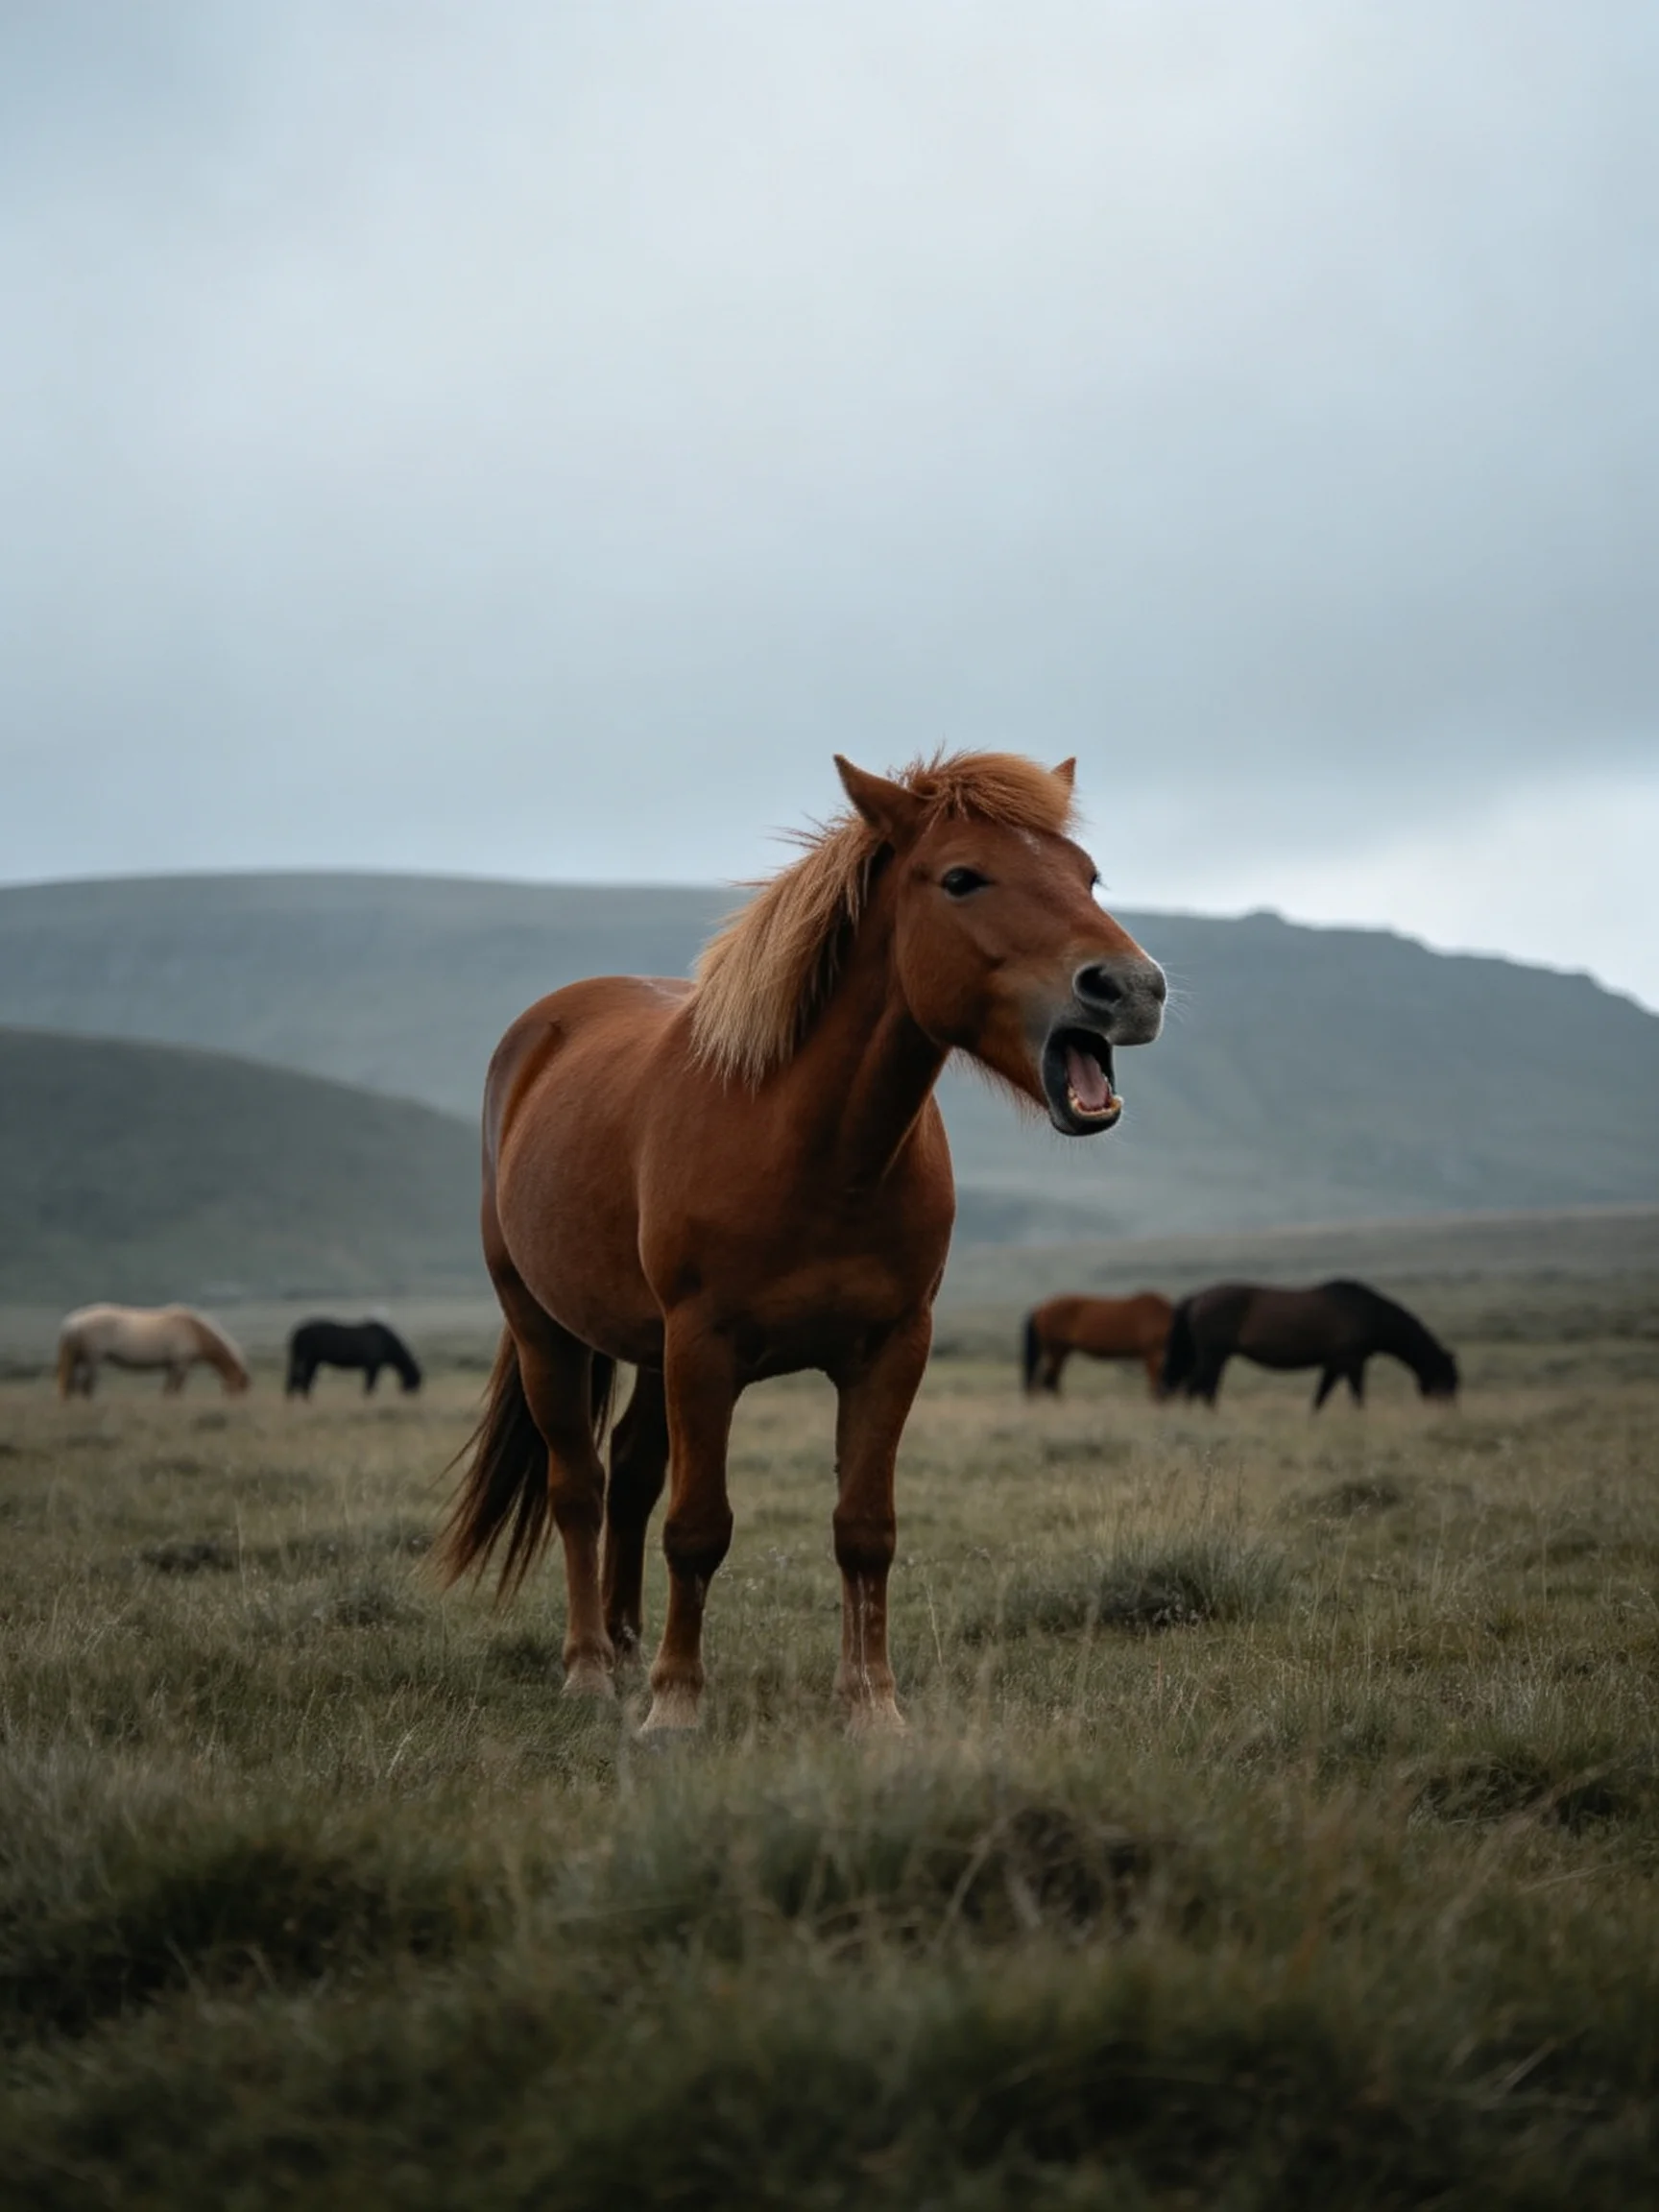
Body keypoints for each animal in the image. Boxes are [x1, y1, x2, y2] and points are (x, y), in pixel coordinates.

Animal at [55, 1304, 251, 1398]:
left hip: (78, 1359)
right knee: (85, 1386)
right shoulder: (181, 1364)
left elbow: (167, 1390)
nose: (233, 1403)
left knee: (71, 1385)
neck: (193, 1330)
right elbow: (176, 1389)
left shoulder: (171, 1366)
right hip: (92, 1360)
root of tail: (73, 1322)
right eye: (236, 1391)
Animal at [285, 1318, 423, 1398]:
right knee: (300, 1380)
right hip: (305, 1359)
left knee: (301, 1380)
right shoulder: (372, 1366)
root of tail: (297, 1333)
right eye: (415, 1378)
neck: (386, 1342)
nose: (414, 1393)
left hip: (311, 1361)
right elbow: (369, 1386)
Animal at [1022, 1292, 1173, 1398]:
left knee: (1050, 1380)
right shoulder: (1152, 1354)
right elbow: (1155, 1384)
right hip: (1056, 1349)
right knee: (1049, 1381)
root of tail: (1040, 1308)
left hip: (1061, 1350)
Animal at [1160, 1280, 1459, 1410]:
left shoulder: (1334, 1363)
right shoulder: (1352, 1361)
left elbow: (1320, 1398)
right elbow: (1357, 1395)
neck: (1368, 1312)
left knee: (1205, 1388)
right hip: (1213, 1355)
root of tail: (1198, 1297)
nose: (1450, 1411)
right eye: (1449, 1379)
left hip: (1219, 1357)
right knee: (1197, 1386)